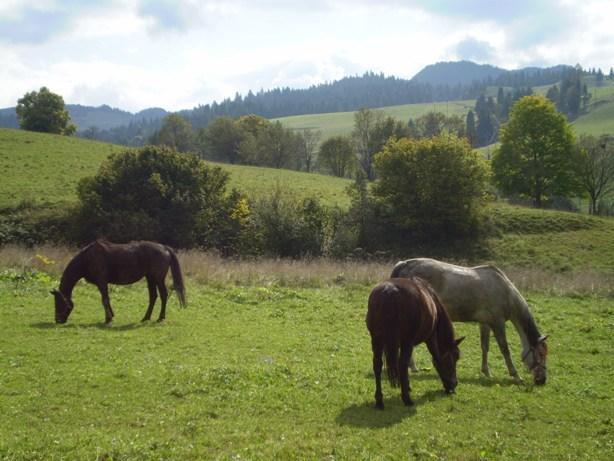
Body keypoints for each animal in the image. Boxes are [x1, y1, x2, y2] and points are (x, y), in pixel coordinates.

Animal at [51, 241, 186, 324]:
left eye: (58, 302)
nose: (58, 320)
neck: (87, 259)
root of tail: (164, 248)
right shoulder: (103, 283)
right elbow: (107, 299)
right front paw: (111, 316)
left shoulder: (101, 282)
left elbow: (104, 299)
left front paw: (108, 319)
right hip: (150, 278)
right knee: (153, 296)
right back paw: (145, 318)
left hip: (158, 278)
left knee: (163, 295)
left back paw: (160, 317)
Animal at [368, 274, 464, 408]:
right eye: (454, 359)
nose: (454, 385)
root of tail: (390, 290)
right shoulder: (430, 339)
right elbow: (435, 357)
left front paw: (407, 386)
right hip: (406, 341)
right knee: (402, 364)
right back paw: (407, 399)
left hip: (377, 339)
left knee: (377, 364)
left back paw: (379, 401)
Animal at [392, 256, 552, 382]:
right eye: (541, 354)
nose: (542, 380)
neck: (506, 292)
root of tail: (404, 264)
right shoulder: (498, 323)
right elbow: (505, 349)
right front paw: (516, 375)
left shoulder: (485, 323)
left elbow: (485, 347)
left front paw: (486, 371)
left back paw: (412, 367)